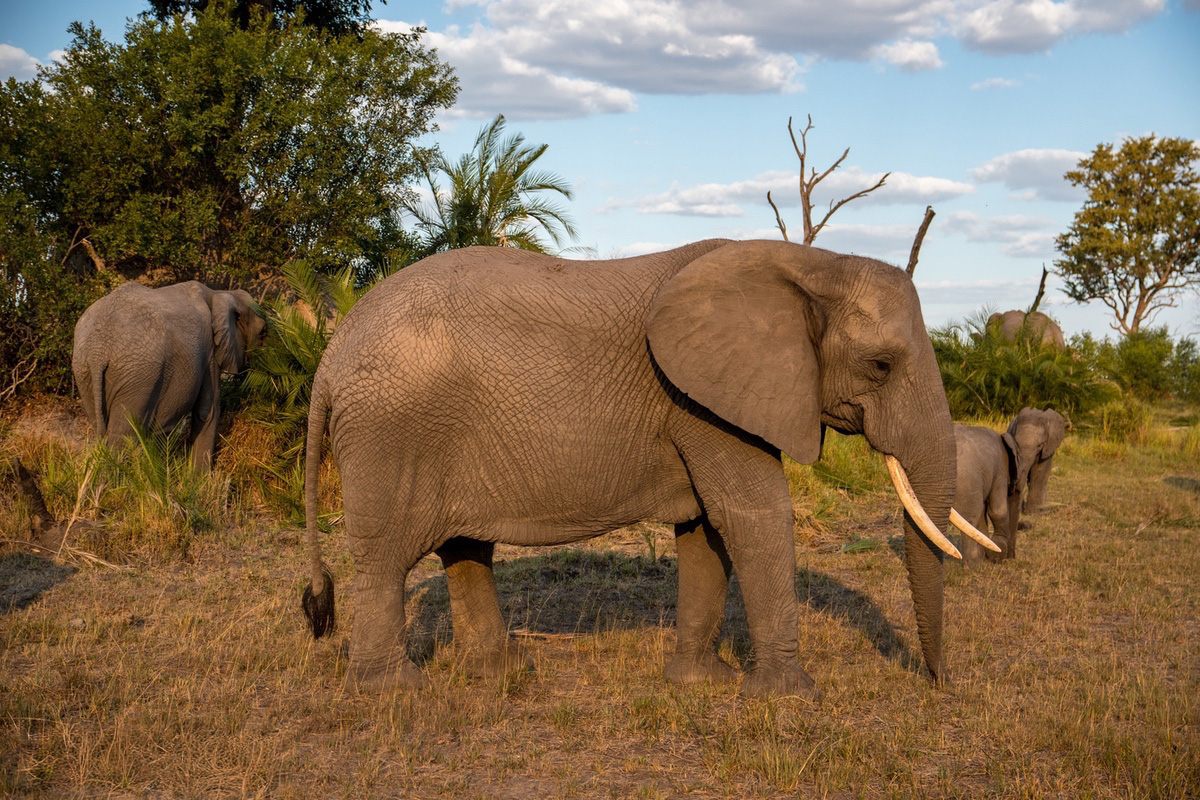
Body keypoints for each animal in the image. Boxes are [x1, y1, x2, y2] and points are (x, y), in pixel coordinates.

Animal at [72, 281, 267, 470]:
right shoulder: (209, 352)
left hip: (85, 371)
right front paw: (199, 480)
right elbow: (207, 411)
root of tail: (99, 349)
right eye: (263, 332)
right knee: (122, 437)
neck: (220, 293)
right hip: (138, 374)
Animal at [300, 240, 997, 697]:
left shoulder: (705, 399)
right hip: (392, 432)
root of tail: (331, 357)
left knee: (465, 547)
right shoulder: (701, 401)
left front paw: (701, 683)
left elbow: (706, 530)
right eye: (880, 366)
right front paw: (790, 699)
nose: (941, 686)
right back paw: (397, 695)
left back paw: (502, 674)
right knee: (385, 560)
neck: (808, 262)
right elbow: (754, 515)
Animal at [952, 424, 1021, 563]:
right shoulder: (1000, 468)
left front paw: (986, 556)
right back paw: (973, 565)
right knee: (969, 516)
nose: (1011, 557)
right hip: (968, 479)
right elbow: (998, 510)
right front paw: (998, 555)